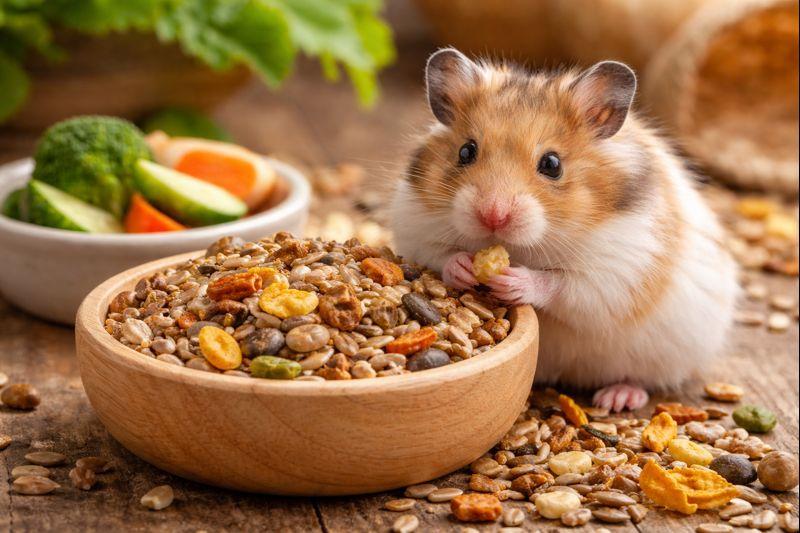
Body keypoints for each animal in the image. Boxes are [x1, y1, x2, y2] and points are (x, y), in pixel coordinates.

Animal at [390, 48, 738, 412]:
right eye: (465, 151)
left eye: (552, 164)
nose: (493, 216)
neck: (522, 246)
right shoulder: (415, 226)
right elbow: (438, 255)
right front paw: (464, 267)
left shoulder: (615, 272)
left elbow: (562, 285)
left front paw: (511, 280)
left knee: (642, 379)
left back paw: (617, 398)